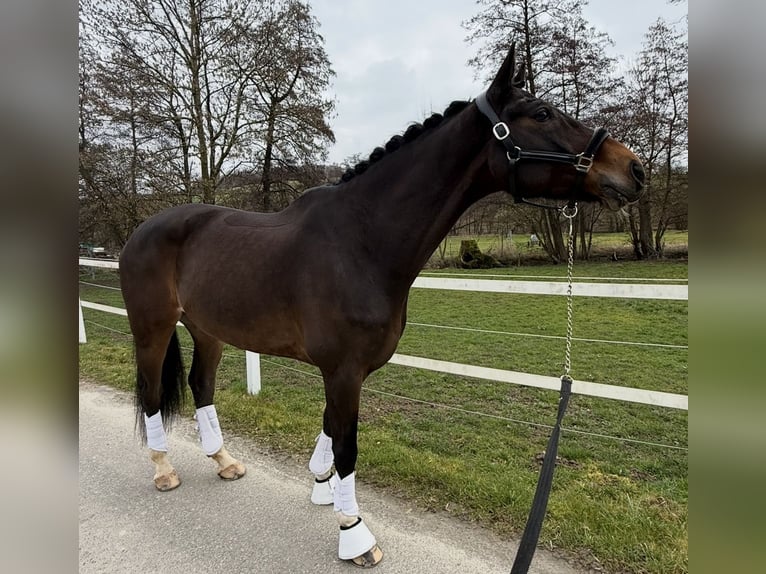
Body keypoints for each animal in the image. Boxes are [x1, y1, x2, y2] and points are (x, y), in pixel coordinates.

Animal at [119, 44, 644, 567]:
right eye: (542, 113)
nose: (634, 169)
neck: (362, 241)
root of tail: (141, 230)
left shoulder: (346, 371)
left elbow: (330, 430)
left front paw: (323, 485)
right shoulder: (343, 370)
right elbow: (347, 446)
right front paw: (353, 531)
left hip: (207, 329)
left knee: (201, 386)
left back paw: (224, 461)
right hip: (152, 328)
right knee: (151, 392)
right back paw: (163, 468)